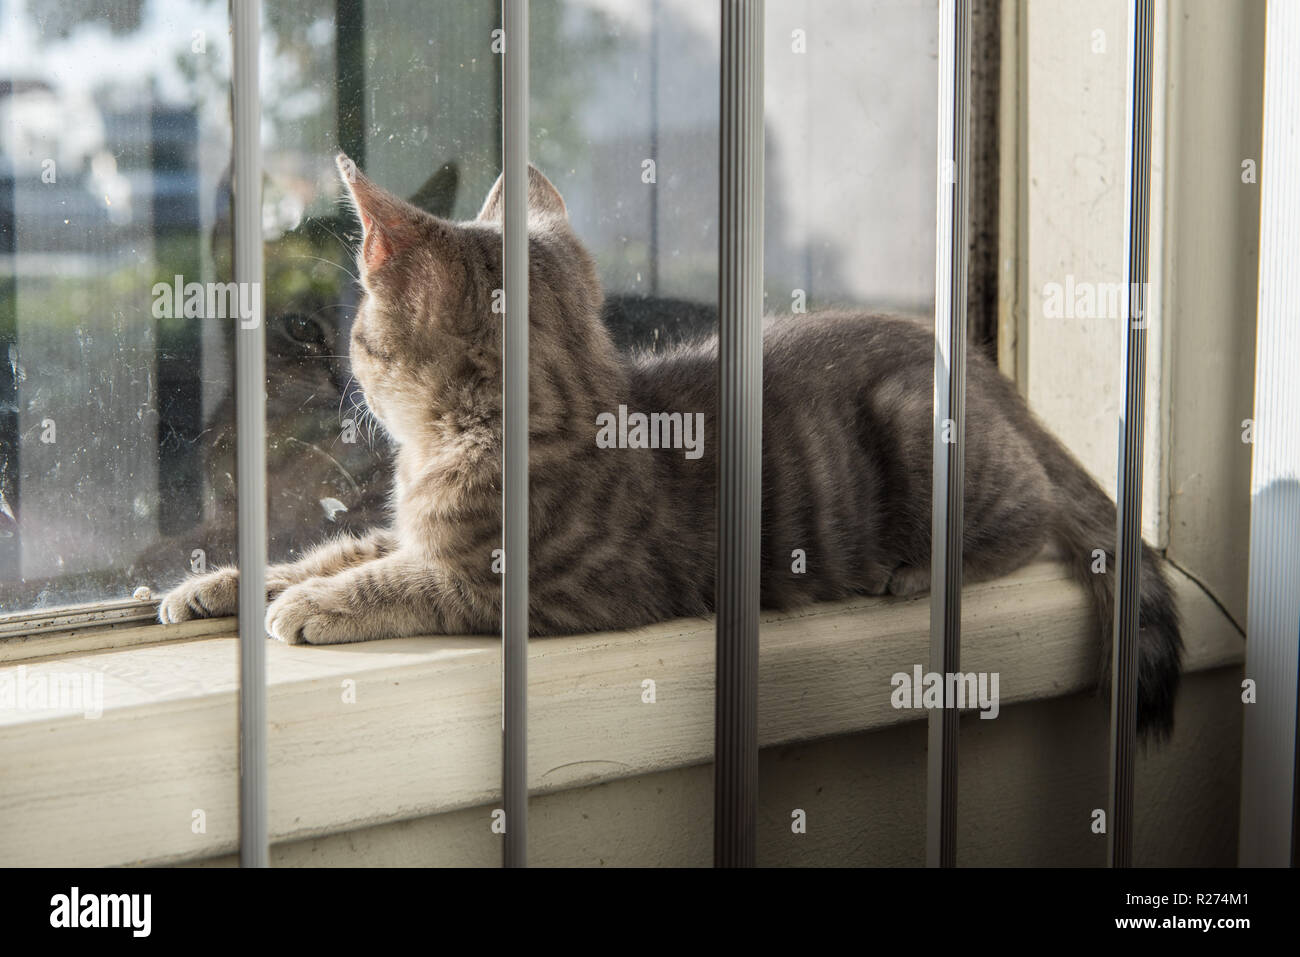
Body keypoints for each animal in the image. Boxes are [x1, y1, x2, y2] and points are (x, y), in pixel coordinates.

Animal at [157, 157, 1185, 738]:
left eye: (356, 332)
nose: (346, 380)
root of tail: (969, 360)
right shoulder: (405, 528)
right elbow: (329, 545)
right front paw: (222, 584)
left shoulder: (538, 585)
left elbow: (402, 580)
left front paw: (315, 604)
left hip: (921, 429)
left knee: (1034, 512)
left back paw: (922, 568)